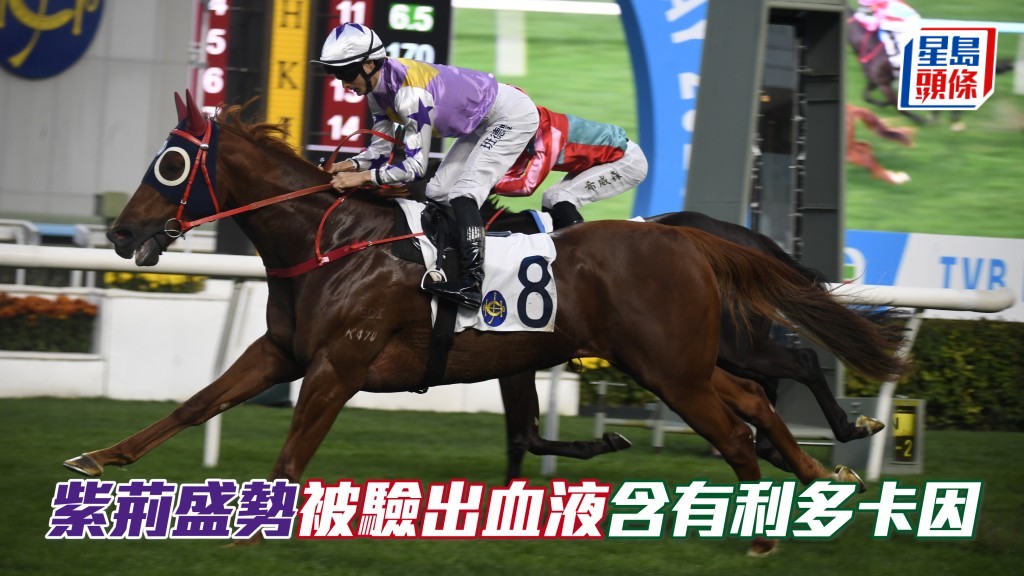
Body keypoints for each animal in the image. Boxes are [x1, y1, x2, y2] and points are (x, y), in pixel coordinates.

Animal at [63, 91, 907, 554]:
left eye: (171, 164)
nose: (123, 234)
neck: (330, 240)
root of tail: (689, 237)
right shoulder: (285, 351)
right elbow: (196, 404)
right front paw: (98, 460)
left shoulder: (339, 365)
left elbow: (289, 460)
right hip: (677, 363)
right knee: (755, 399)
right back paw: (817, 475)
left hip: (673, 365)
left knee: (746, 415)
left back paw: (774, 516)